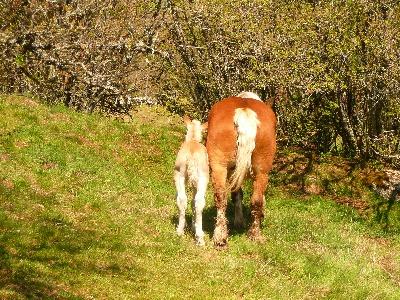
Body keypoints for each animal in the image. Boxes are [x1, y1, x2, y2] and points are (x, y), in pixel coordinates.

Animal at [173, 116, 209, 245]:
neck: (193, 140)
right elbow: (194, 202)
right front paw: (194, 226)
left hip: (179, 174)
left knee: (182, 198)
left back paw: (180, 231)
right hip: (203, 177)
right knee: (198, 201)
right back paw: (200, 237)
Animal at [205, 91, 276, 248]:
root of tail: (244, 110)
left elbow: (237, 195)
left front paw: (239, 221)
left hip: (219, 166)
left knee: (221, 197)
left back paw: (220, 237)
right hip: (262, 172)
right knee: (255, 200)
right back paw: (254, 234)